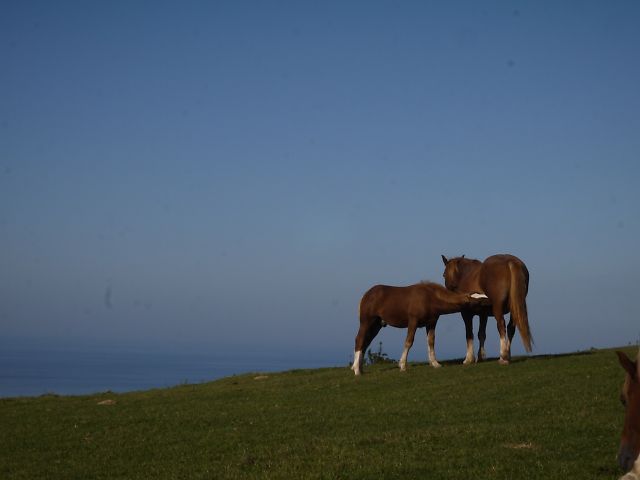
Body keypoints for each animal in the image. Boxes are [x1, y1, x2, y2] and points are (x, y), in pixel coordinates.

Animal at [352, 282, 488, 376]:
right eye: (479, 301)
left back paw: (360, 368)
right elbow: (409, 341)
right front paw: (402, 365)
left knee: (365, 343)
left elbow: (431, 341)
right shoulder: (413, 321)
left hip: (377, 325)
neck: (429, 297)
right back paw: (357, 370)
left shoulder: (432, 323)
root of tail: (366, 295)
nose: (490, 305)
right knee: (360, 340)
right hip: (366, 322)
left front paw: (435, 363)